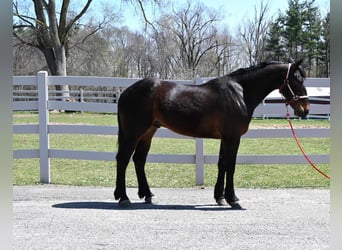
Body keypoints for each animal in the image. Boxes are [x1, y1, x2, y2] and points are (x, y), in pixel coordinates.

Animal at [114, 59, 310, 207]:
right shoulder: (233, 137)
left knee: (139, 160)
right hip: (134, 132)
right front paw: (233, 199)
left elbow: (222, 164)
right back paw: (123, 197)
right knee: (123, 159)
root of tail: (126, 92)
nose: (305, 109)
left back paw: (148, 195)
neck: (240, 92)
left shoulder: (226, 138)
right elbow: (230, 165)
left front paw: (220, 197)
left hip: (148, 132)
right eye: (297, 80)